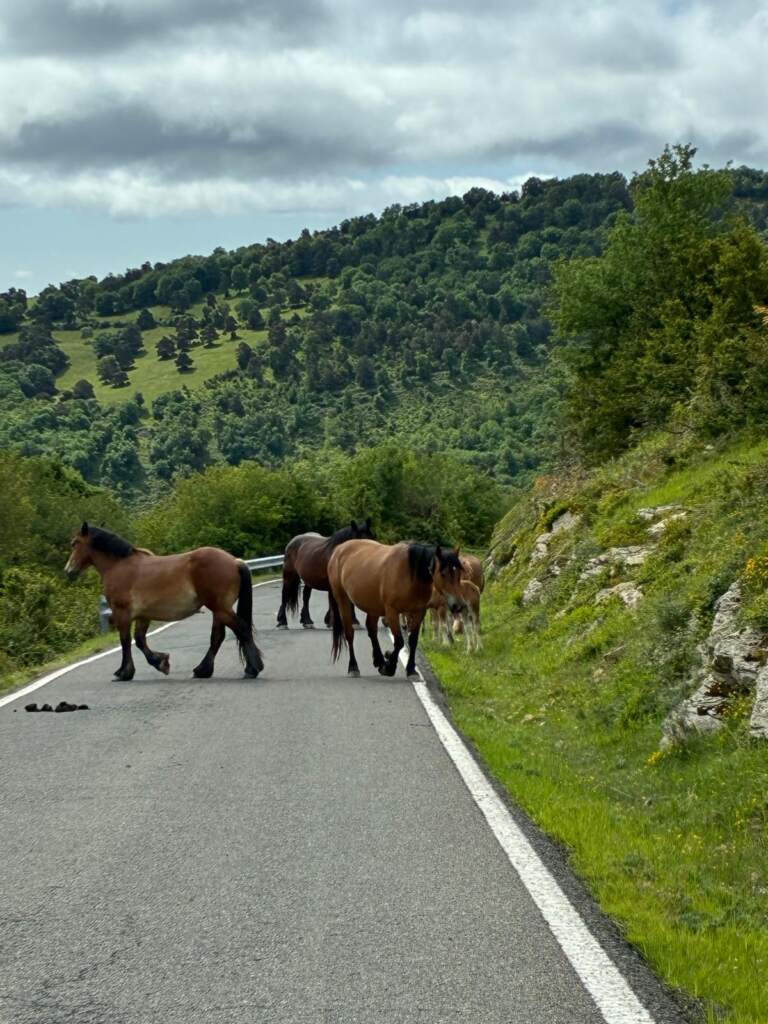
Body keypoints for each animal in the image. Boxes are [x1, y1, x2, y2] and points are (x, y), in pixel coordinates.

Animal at [64, 523, 263, 681]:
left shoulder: (122, 613)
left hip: (220, 608)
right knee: (218, 637)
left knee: (241, 629)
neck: (120, 566)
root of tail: (235, 561)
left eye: (75, 543)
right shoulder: (143, 615)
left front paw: (124, 672)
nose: (68, 571)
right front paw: (161, 662)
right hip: (219, 610)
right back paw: (203, 670)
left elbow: (125, 641)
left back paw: (252, 669)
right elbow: (139, 640)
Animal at [327, 540, 466, 678]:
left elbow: (413, 640)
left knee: (372, 630)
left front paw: (410, 669)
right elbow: (399, 642)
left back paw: (379, 660)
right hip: (343, 600)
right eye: (443, 574)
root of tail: (339, 549)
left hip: (373, 606)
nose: (458, 605)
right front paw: (389, 667)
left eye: (459, 574)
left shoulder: (419, 612)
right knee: (349, 633)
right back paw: (353, 667)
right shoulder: (392, 612)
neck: (410, 572)